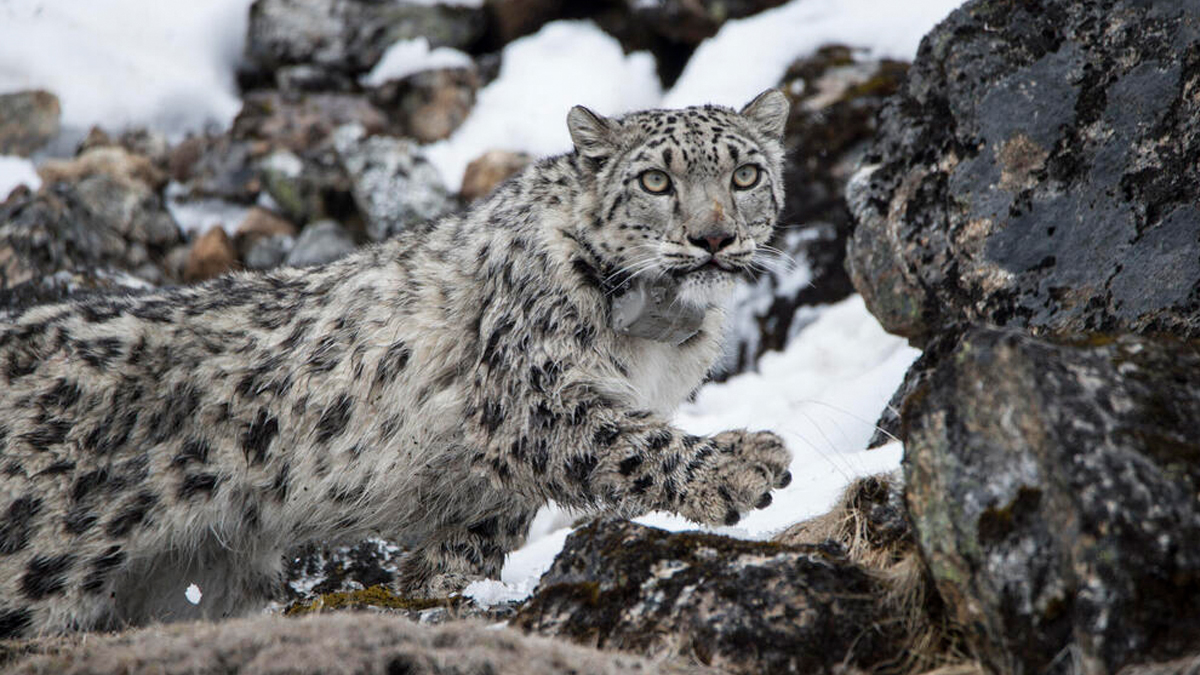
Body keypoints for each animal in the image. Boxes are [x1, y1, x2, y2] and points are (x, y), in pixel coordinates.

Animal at [0, 90, 796, 634]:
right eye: (656, 181)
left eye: (746, 175)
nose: (714, 238)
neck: (660, 340)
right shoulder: (533, 396)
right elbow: (627, 443)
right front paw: (743, 465)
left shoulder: (488, 495)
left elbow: (464, 551)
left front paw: (436, 592)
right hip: (37, 563)